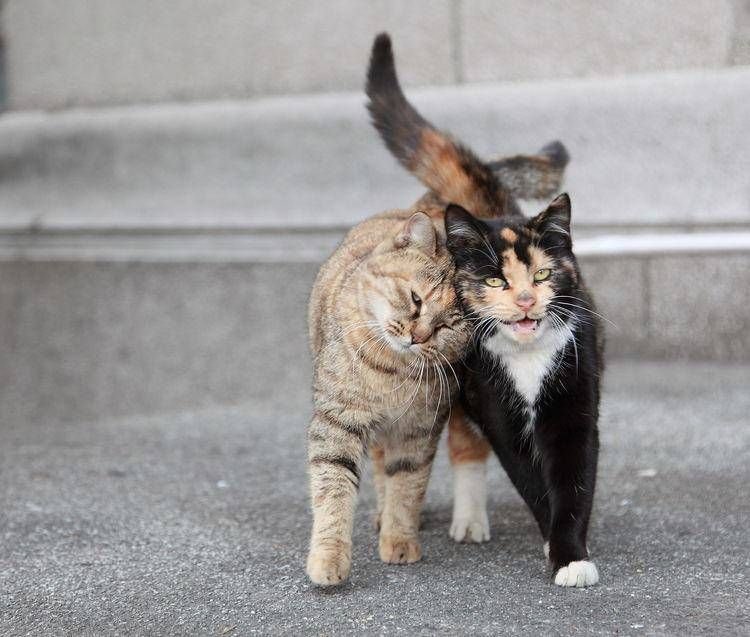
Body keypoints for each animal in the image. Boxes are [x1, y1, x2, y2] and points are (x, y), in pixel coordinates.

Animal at [306, 32, 568, 584]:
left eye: (448, 323)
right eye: (415, 299)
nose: (417, 334)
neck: (390, 370)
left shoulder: (418, 430)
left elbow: (408, 485)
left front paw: (400, 542)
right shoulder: (337, 423)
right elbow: (334, 491)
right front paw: (329, 559)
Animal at [446, 198, 604, 588]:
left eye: (542, 275)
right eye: (494, 279)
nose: (526, 300)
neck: (527, 356)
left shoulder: (575, 396)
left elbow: (574, 477)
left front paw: (573, 558)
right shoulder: (499, 417)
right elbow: (530, 481)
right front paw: (556, 548)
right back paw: (468, 521)